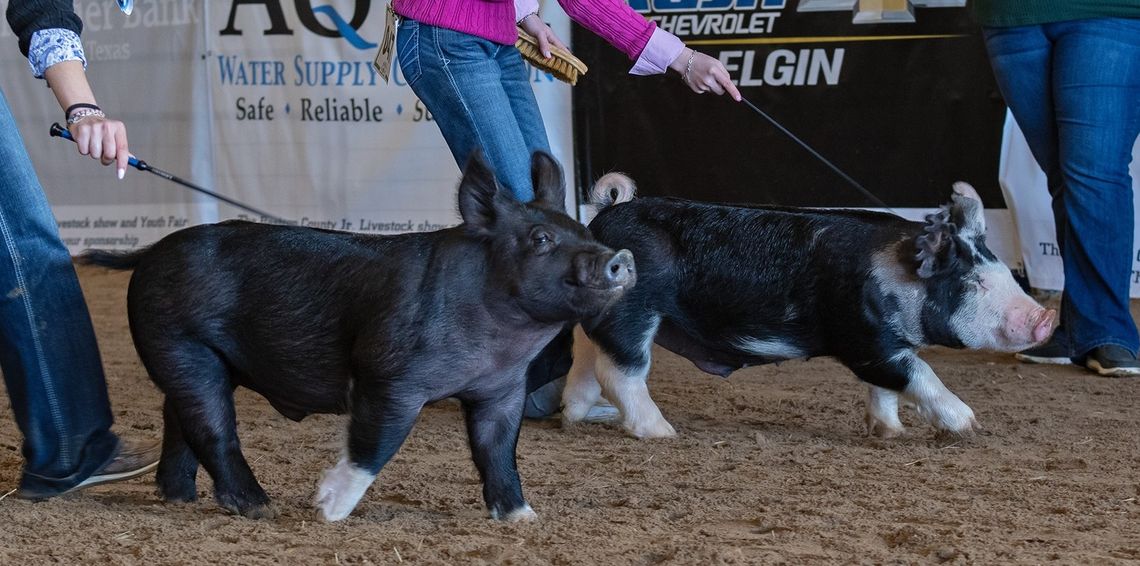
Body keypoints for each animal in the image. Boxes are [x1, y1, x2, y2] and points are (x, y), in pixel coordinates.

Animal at [82, 151, 633, 522]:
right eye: (540, 240)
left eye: (583, 232)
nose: (619, 257)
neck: (500, 342)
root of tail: (148, 253)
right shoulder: (388, 376)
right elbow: (375, 444)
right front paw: (326, 510)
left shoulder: (502, 390)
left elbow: (497, 451)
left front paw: (522, 518)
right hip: (179, 343)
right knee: (211, 426)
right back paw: (259, 507)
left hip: (199, 357)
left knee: (178, 417)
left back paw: (179, 496)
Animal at [565, 175, 1053, 438]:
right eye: (973, 281)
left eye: (1005, 273)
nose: (1046, 318)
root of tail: (604, 215)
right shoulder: (864, 341)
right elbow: (918, 374)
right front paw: (970, 425)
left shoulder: (881, 346)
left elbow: (885, 388)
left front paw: (889, 433)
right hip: (634, 310)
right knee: (622, 371)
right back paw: (662, 432)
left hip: (602, 315)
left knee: (588, 358)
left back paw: (573, 416)